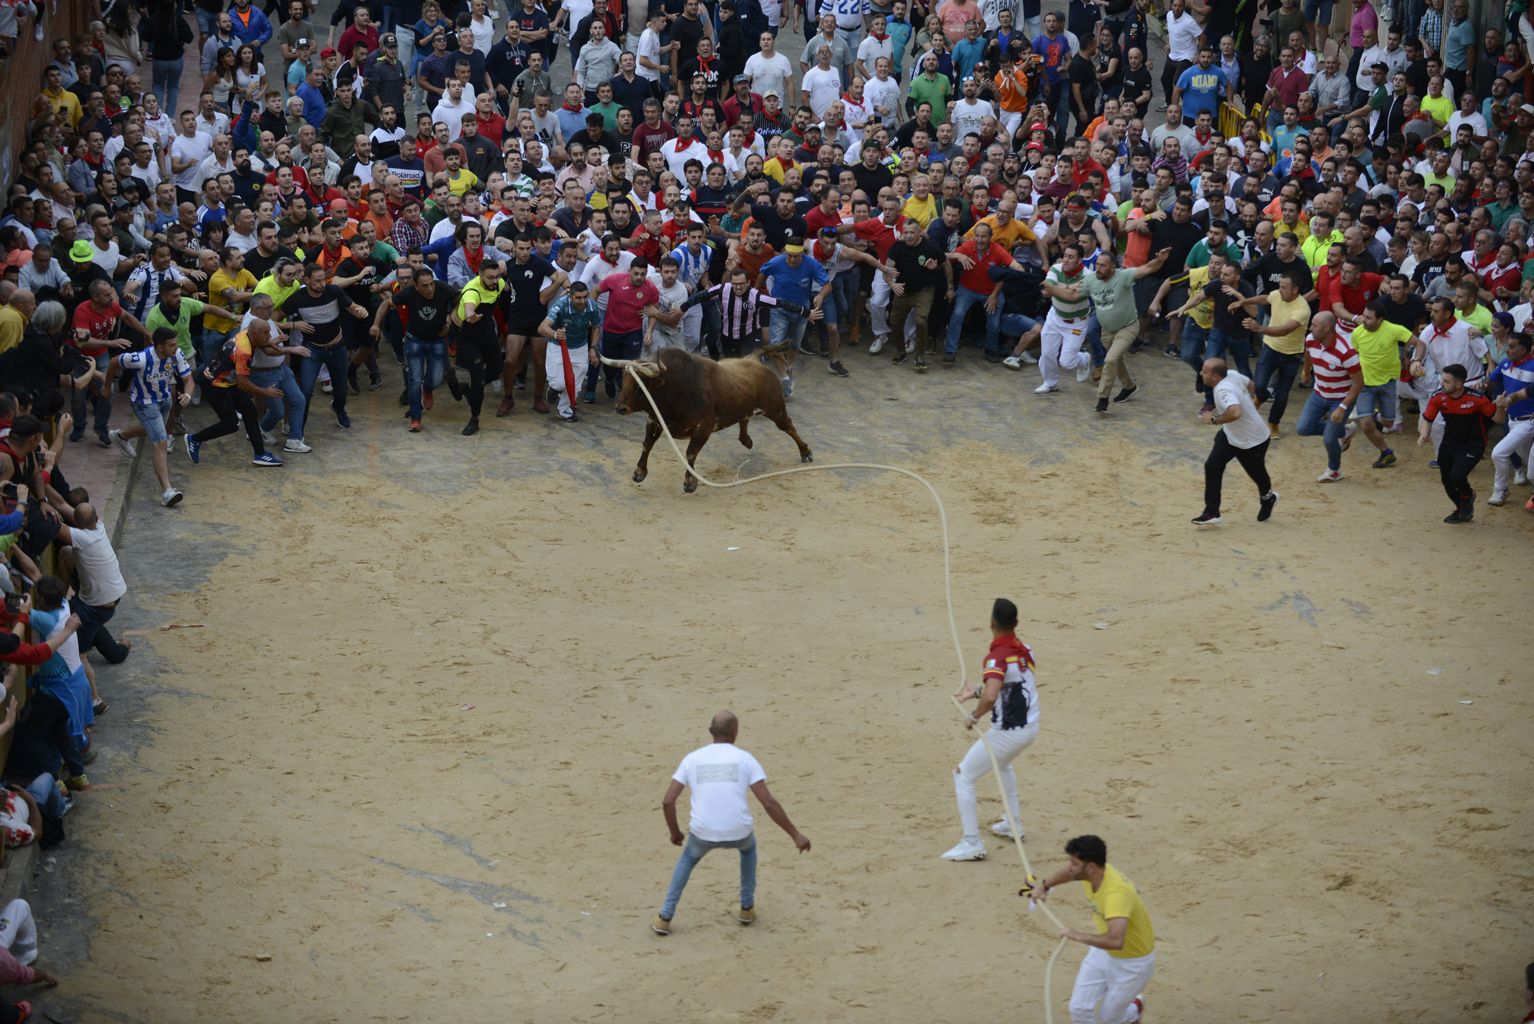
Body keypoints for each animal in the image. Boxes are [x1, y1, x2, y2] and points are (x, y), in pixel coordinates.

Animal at [607, 347, 816, 490]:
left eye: (639, 385)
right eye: (624, 380)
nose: (619, 408)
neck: (675, 387)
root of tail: (754, 359)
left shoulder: (703, 427)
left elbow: (691, 452)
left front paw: (690, 482)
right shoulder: (654, 421)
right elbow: (647, 445)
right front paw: (639, 472)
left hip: (775, 409)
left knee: (789, 427)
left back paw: (805, 452)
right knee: (745, 418)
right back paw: (746, 440)